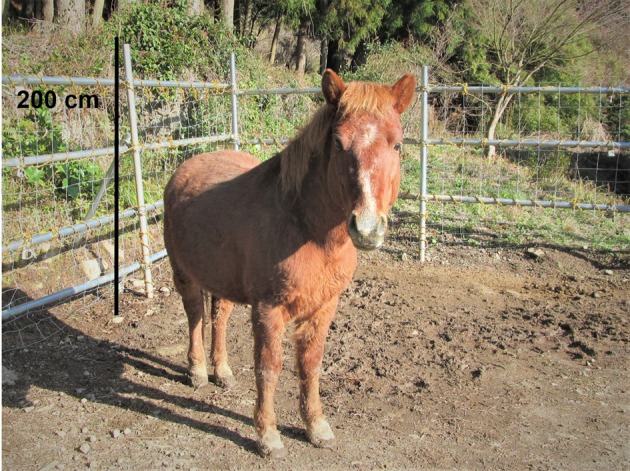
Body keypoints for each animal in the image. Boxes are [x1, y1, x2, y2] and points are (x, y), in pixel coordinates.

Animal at [165, 70, 418, 458]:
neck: (307, 227)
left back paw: (221, 371)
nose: (367, 228)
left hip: (221, 278)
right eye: (339, 144)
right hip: (184, 274)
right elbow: (268, 368)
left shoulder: (324, 306)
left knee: (218, 316)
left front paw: (316, 426)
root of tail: (186, 166)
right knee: (195, 314)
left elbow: (310, 365)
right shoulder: (269, 309)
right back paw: (196, 371)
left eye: (398, 146)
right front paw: (267, 435)